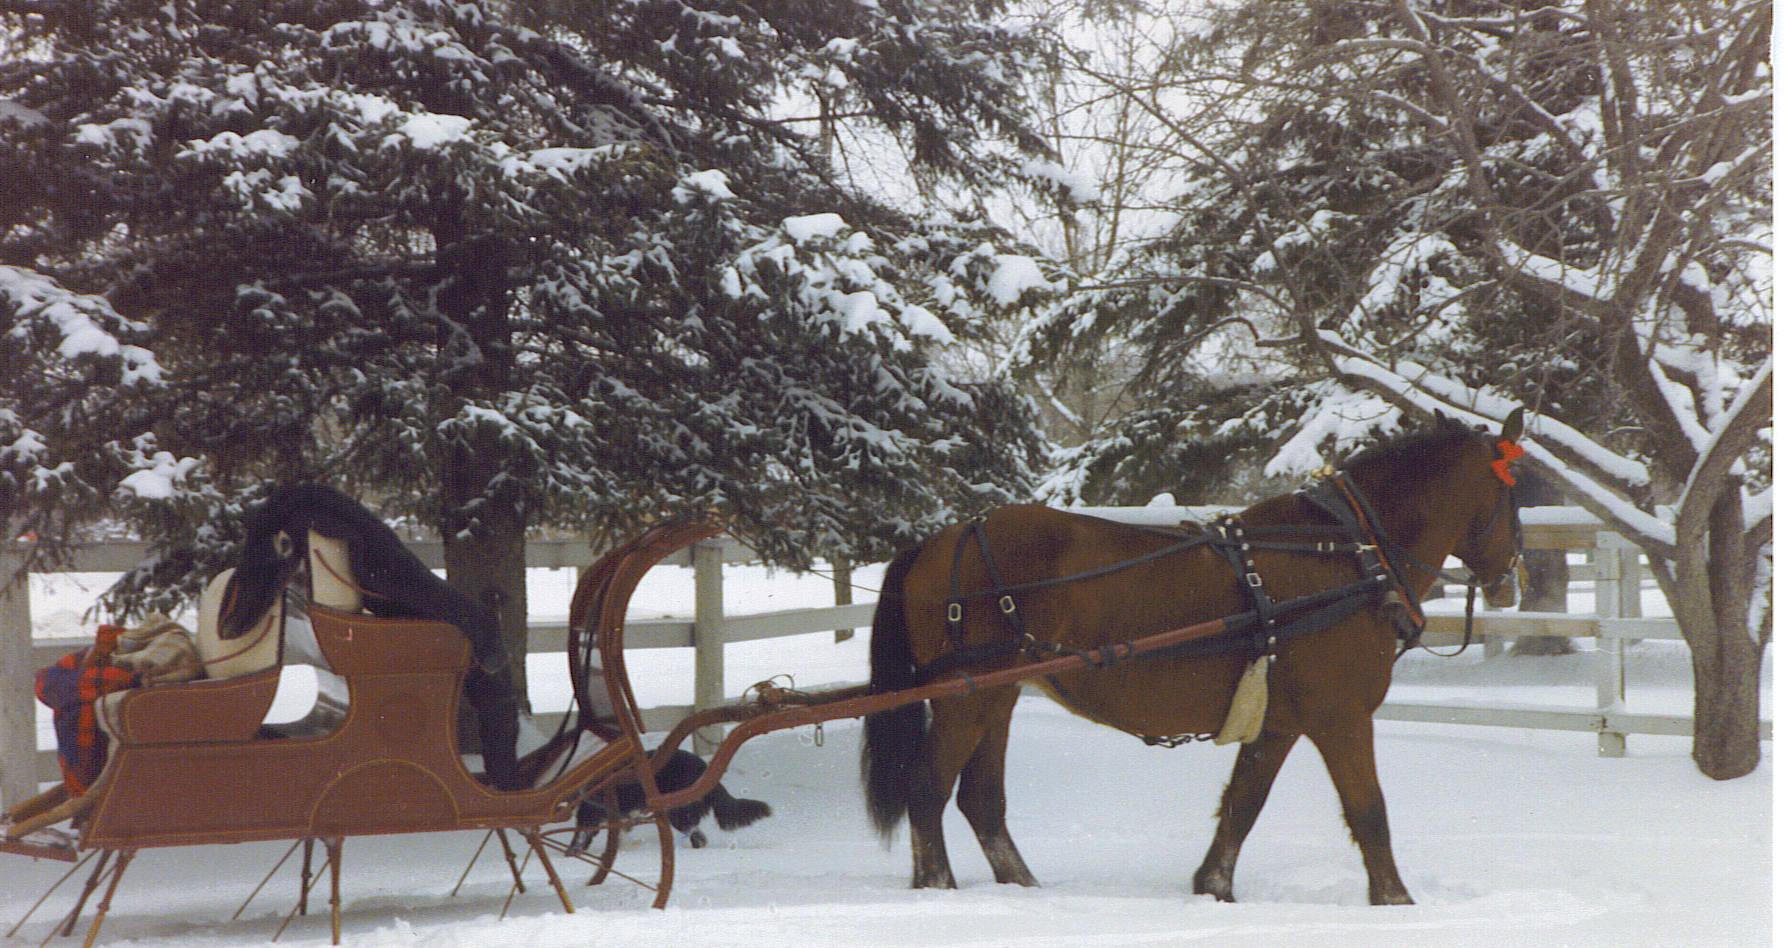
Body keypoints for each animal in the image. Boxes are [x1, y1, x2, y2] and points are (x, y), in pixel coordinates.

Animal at [856, 408, 1527, 906]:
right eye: (1512, 494)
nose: (1510, 576)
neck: (1349, 553)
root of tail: (942, 540)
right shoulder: (1340, 716)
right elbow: (1369, 810)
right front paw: (1396, 902)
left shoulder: (1279, 722)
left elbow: (1242, 806)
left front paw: (1213, 888)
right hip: (967, 697)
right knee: (928, 788)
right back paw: (939, 889)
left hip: (996, 697)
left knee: (980, 800)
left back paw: (1023, 890)